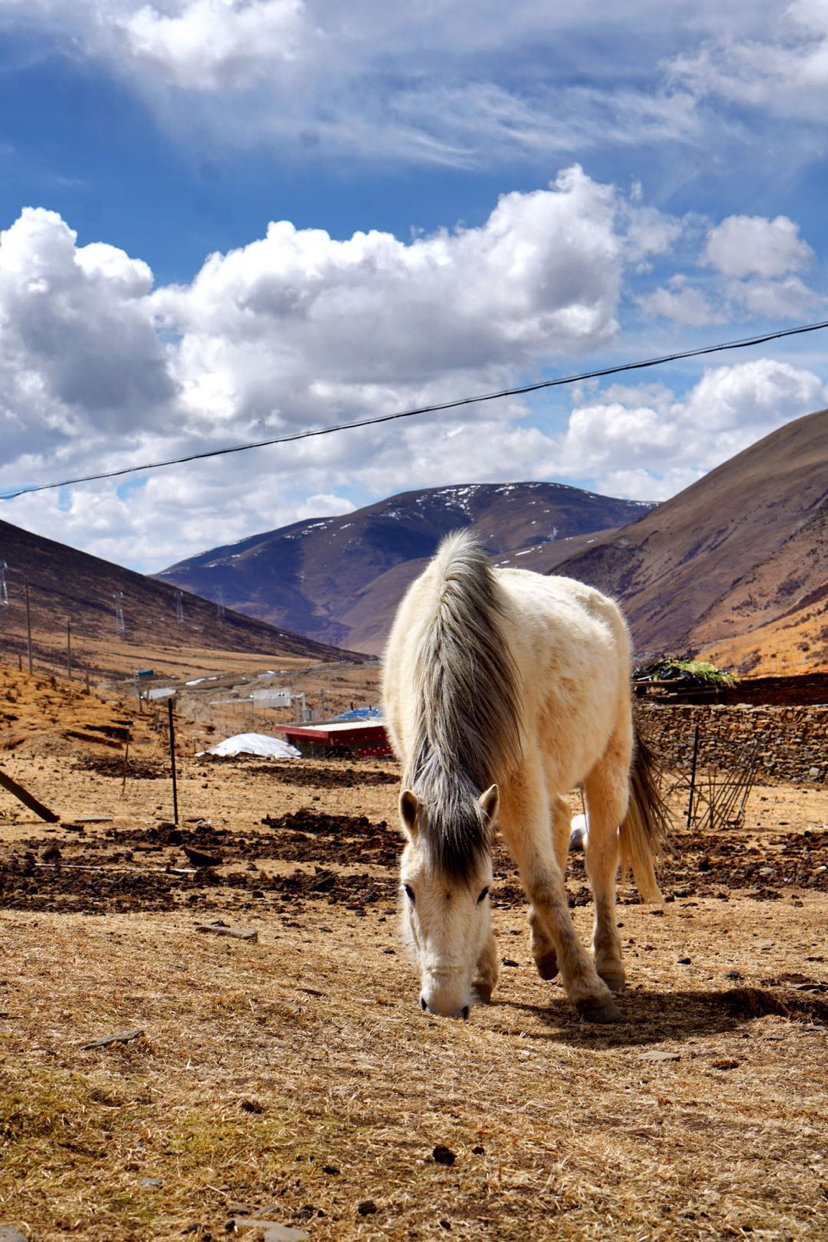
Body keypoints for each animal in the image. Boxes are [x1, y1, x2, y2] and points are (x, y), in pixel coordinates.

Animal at [381, 530, 668, 1023]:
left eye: (483, 892)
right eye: (409, 890)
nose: (443, 1004)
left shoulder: (518, 777)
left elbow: (542, 880)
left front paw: (588, 989)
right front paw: (483, 976)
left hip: (608, 762)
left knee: (599, 856)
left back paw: (608, 963)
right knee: (559, 819)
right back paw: (544, 949)